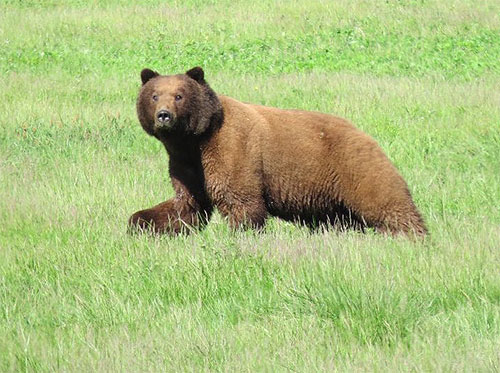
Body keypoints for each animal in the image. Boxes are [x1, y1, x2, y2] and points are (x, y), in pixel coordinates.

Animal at [128, 66, 426, 235]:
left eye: (179, 95)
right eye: (154, 95)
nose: (164, 116)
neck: (197, 139)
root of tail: (363, 133)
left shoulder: (231, 148)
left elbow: (240, 201)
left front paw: (242, 235)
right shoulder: (185, 162)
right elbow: (187, 205)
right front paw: (141, 222)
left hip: (352, 165)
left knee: (385, 199)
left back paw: (410, 234)